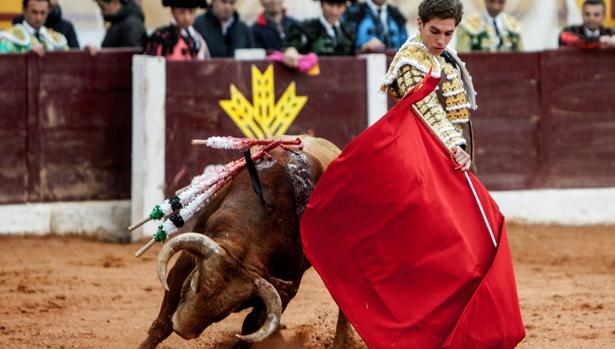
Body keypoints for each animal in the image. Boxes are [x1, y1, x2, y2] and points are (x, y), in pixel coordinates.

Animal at [138, 136, 354, 348]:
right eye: (194, 282)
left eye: (226, 310)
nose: (183, 330)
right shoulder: (190, 254)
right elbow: (164, 315)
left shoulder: (286, 290)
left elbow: (251, 328)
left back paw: (342, 342)